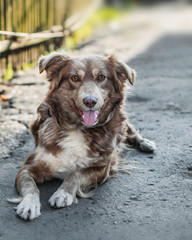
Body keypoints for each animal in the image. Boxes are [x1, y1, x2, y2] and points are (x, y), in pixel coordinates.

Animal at [7, 51, 156, 220]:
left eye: (101, 77)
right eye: (75, 78)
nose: (90, 101)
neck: (78, 128)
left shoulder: (102, 168)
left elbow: (76, 173)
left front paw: (63, 193)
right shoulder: (28, 167)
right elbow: (30, 186)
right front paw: (29, 204)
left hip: (122, 121)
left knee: (130, 130)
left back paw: (145, 143)